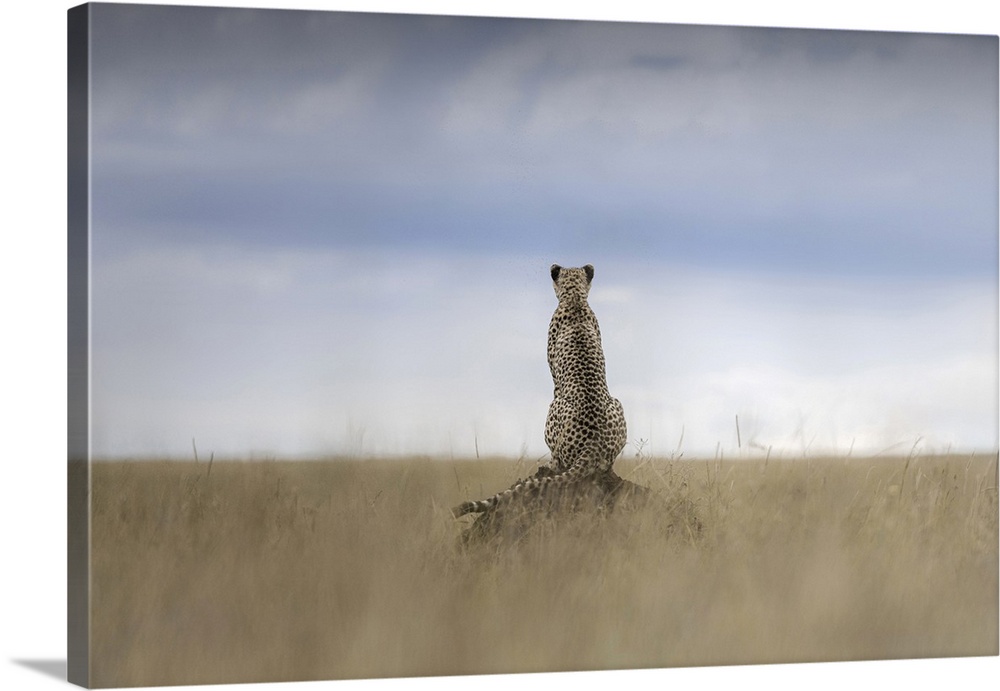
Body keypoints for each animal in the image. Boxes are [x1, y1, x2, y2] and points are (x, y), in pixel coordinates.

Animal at [454, 264, 624, 520]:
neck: (575, 299)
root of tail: (593, 445)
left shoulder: (553, 375)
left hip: (554, 410)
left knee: (559, 460)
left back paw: (548, 464)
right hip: (617, 403)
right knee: (605, 465)